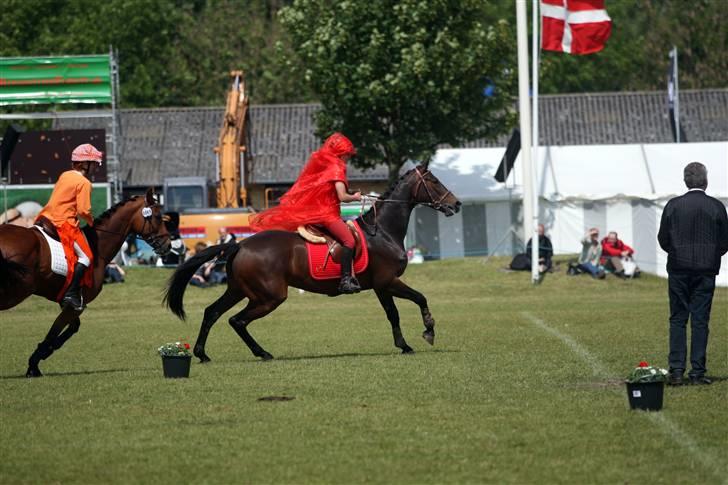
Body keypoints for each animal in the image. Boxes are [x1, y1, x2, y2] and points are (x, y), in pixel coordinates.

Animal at [0, 187, 171, 376]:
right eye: (157, 216)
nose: (168, 245)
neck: (98, 248)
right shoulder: (76, 305)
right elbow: (55, 331)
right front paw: (35, 363)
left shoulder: (70, 302)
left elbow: (72, 328)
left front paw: (44, 353)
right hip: (16, 292)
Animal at [165, 164, 460, 362]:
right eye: (434, 181)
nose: (456, 204)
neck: (383, 232)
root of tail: (240, 244)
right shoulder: (388, 280)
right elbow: (420, 298)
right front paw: (428, 330)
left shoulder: (381, 285)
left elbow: (393, 314)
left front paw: (404, 345)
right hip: (269, 296)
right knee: (237, 320)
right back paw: (263, 352)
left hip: (238, 290)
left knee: (212, 313)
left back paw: (203, 354)